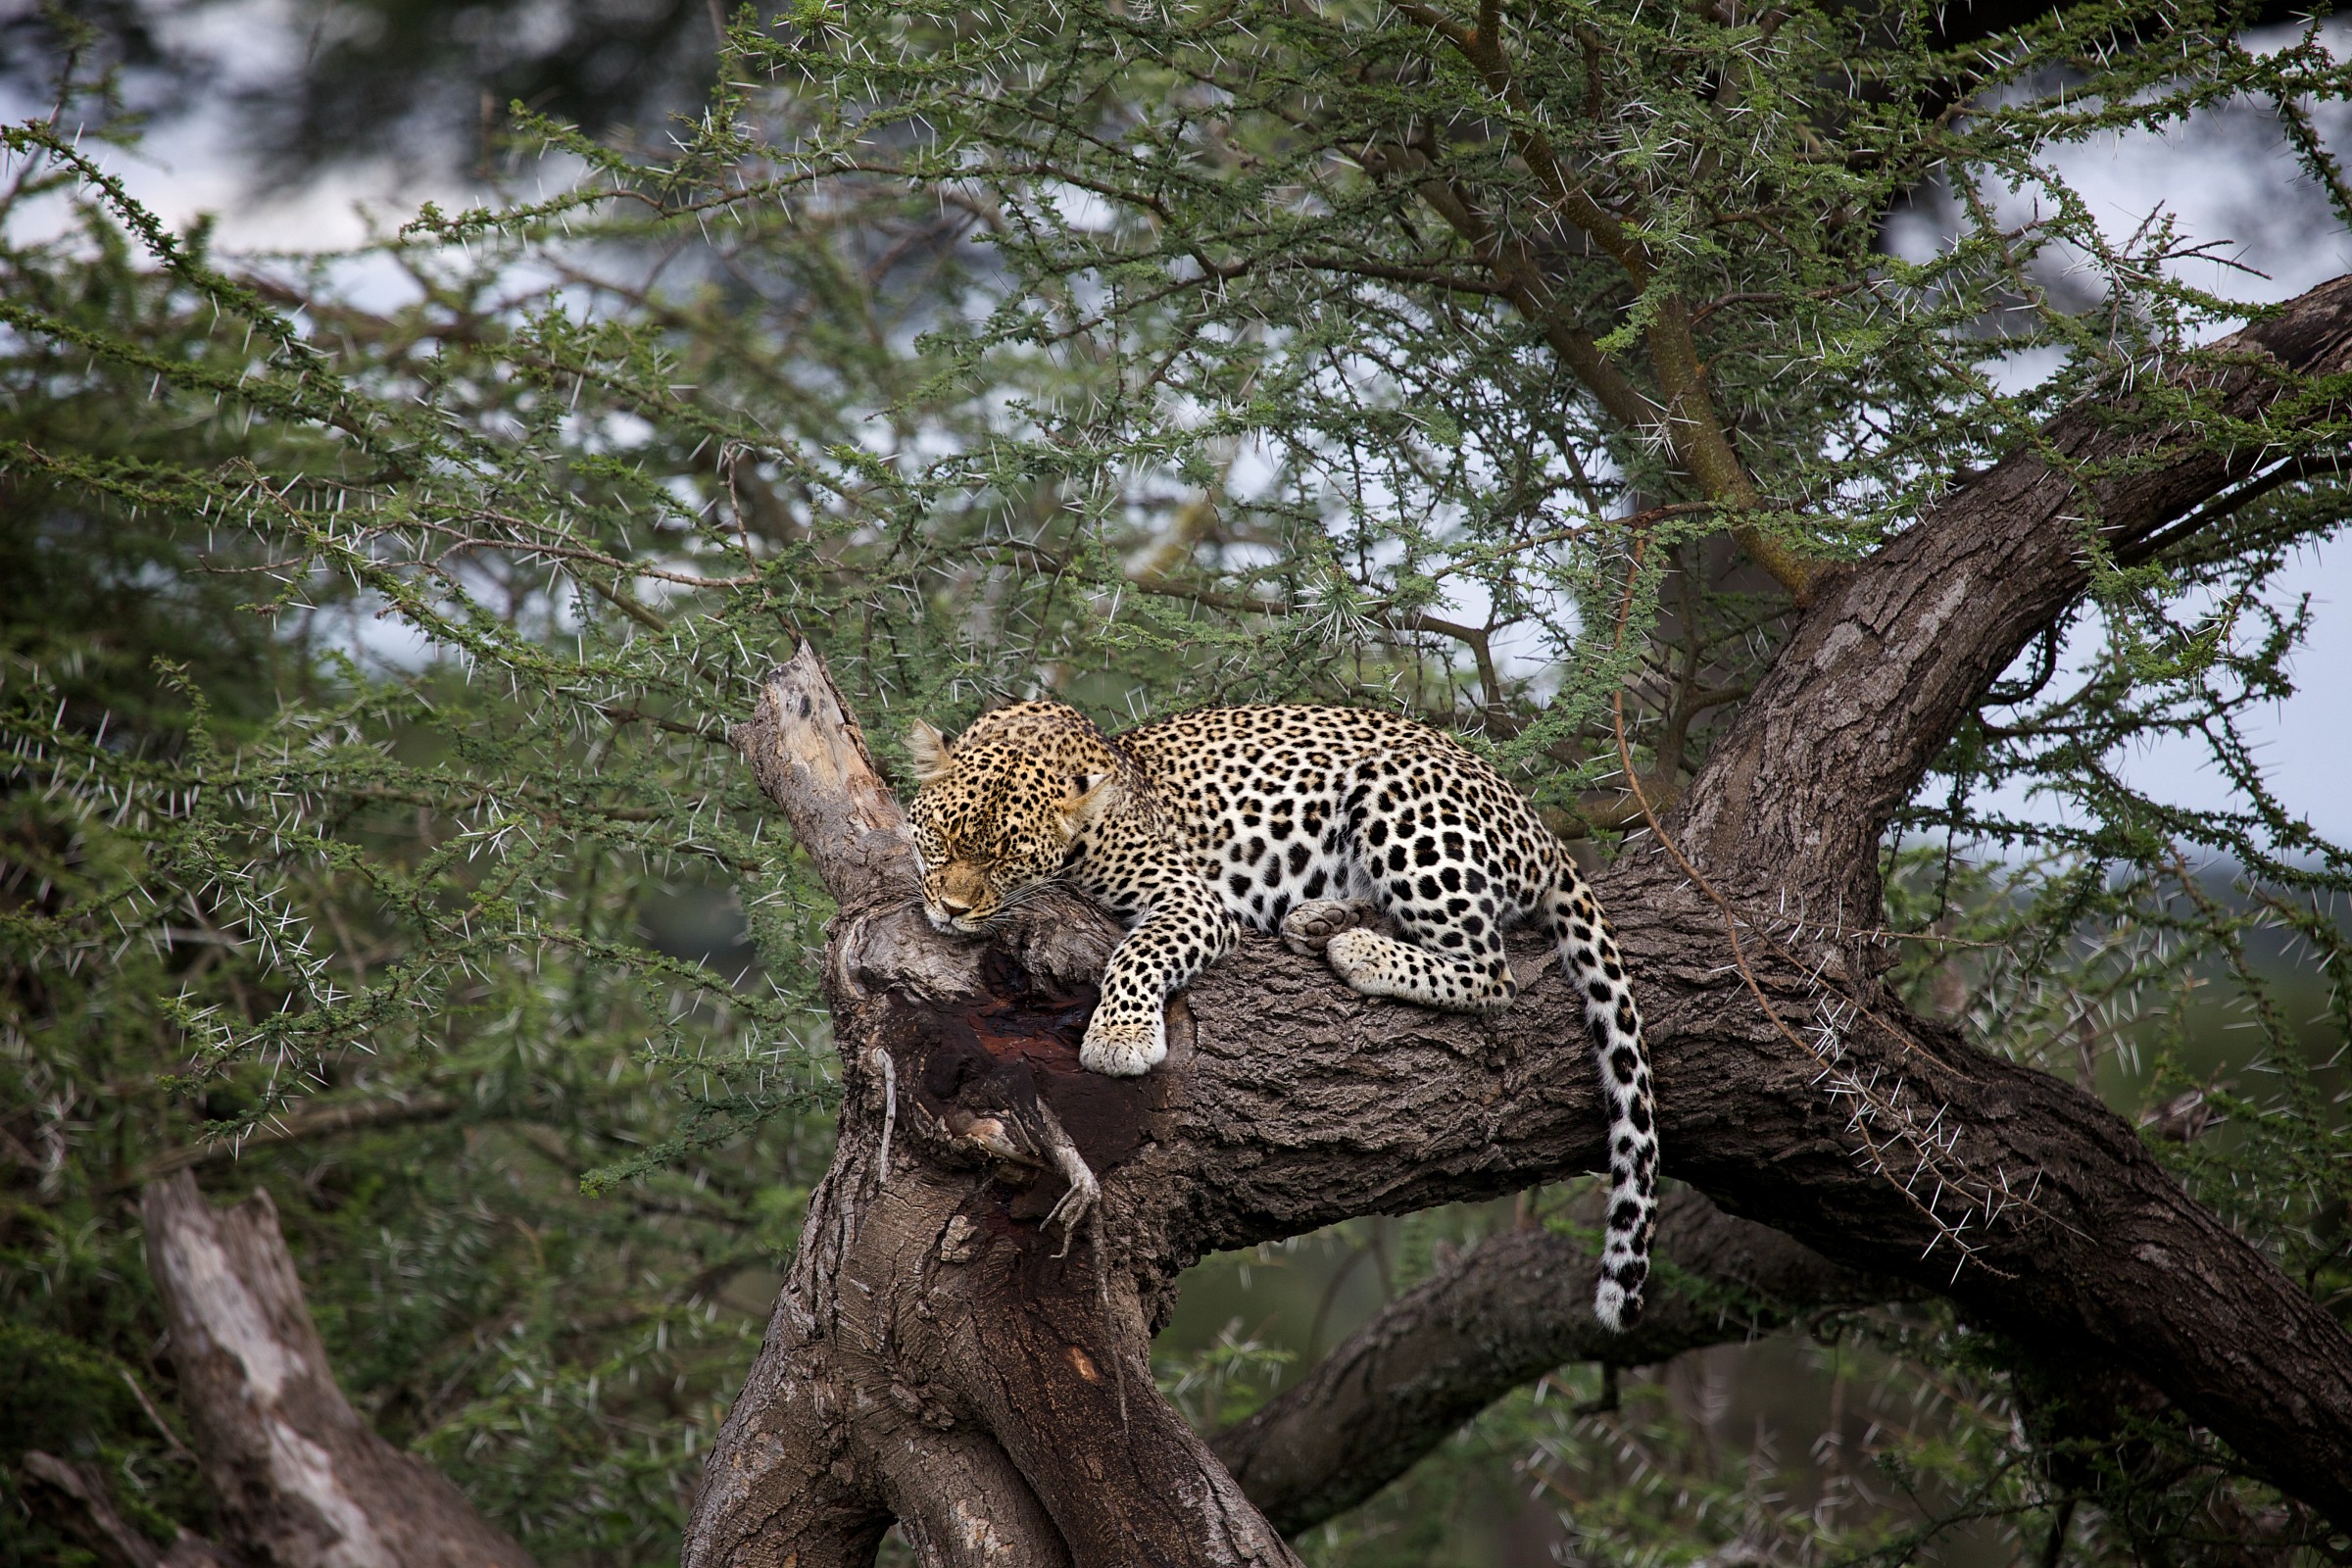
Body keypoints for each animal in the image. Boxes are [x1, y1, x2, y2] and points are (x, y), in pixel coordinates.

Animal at [904, 698, 1659, 1330]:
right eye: (940, 838)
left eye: (1006, 859)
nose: (953, 910)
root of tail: (1537, 825)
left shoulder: (1190, 897)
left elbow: (1140, 951)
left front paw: (1121, 1033)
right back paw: (1322, 920)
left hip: (1401, 802)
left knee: (1490, 968)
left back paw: (1359, 951)